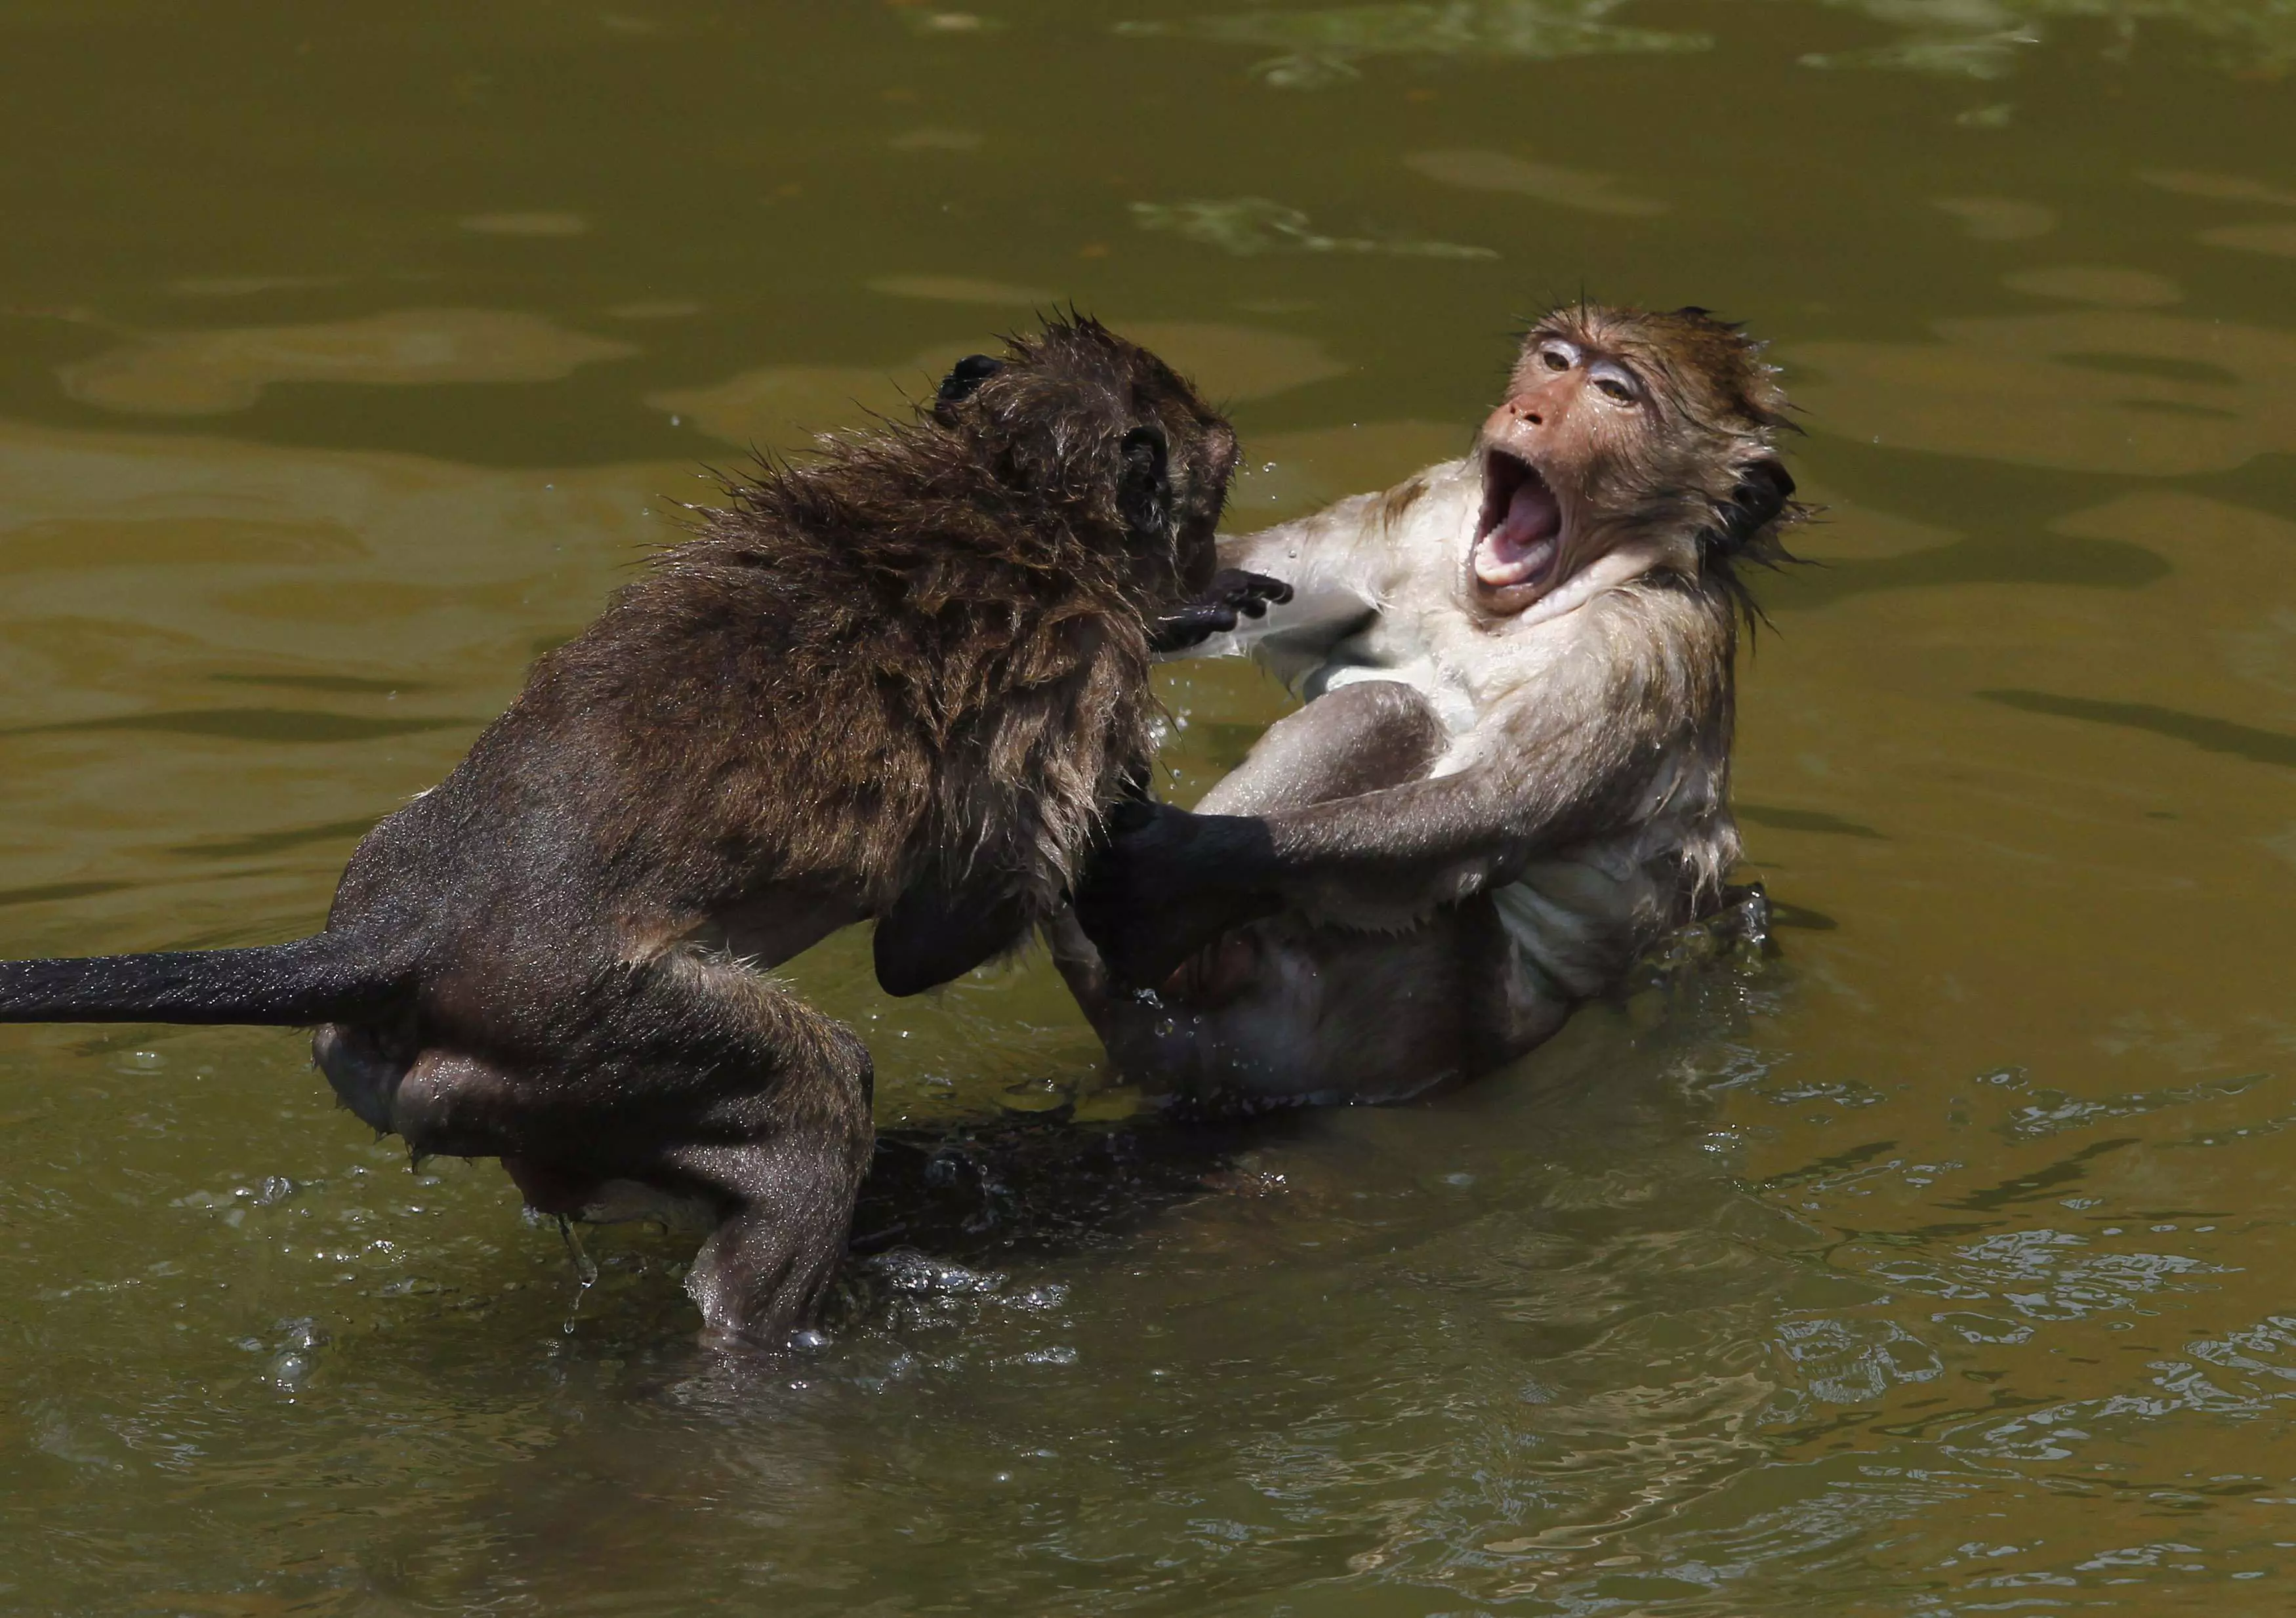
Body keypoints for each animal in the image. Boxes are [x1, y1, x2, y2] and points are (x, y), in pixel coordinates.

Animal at [0, 312, 1277, 1340]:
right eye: (1206, 476)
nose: (1215, 520)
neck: (1006, 488)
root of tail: (399, 933)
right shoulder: (1077, 685)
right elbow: (929, 945)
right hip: (597, 1030)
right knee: (812, 1104)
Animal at [1052, 301, 1791, 1106]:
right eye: (1556, 362)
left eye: (1614, 392)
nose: (1527, 410)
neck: (1508, 613)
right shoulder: (1423, 515)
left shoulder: (1646, 646)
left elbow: (1494, 807)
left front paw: (1168, 872)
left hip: (1406, 1011)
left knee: (1384, 711)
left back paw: (1163, 944)